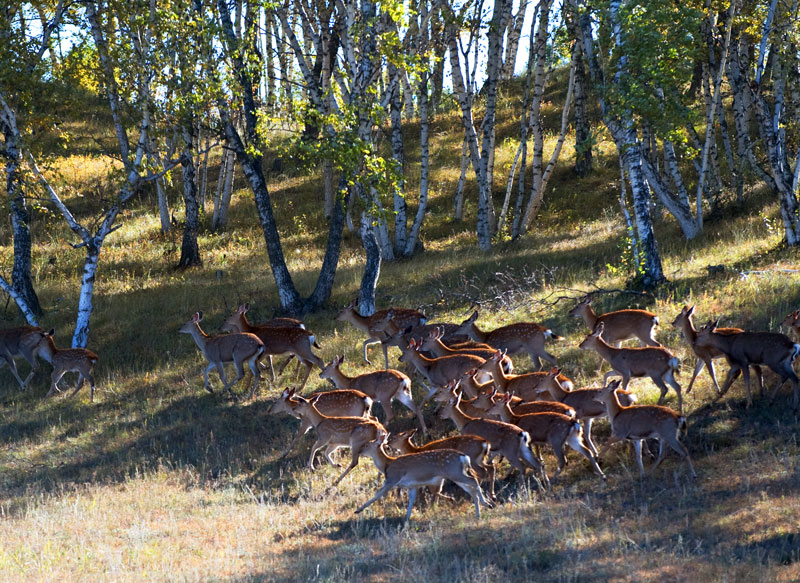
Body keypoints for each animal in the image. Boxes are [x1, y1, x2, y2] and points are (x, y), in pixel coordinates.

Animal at [356, 432, 494, 524]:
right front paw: (407, 518)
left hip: (454, 472)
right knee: (472, 489)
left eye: (367, 445)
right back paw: (479, 513)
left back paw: (487, 503)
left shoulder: (392, 479)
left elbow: (377, 495)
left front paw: (358, 510)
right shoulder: (412, 485)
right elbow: (411, 501)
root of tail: (464, 457)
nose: (359, 452)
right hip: (456, 474)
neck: (387, 465)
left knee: (474, 480)